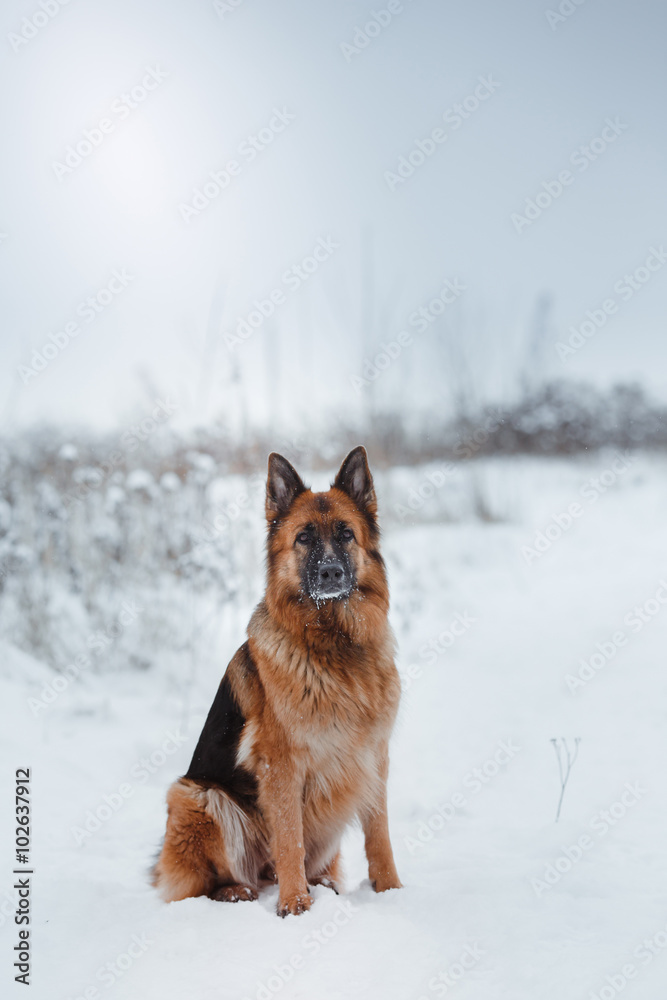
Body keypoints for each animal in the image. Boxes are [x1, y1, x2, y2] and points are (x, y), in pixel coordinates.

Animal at [152, 450, 402, 916]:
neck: (333, 644)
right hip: (197, 796)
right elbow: (289, 838)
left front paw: (392, 891)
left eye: (346, 534)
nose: (330, 573)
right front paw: (295, 906)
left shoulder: (374, 756)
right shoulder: (281, 766)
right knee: (211, 881)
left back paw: (324, 884)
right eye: (303, 538)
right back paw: (237, 891)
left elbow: (380, 835)